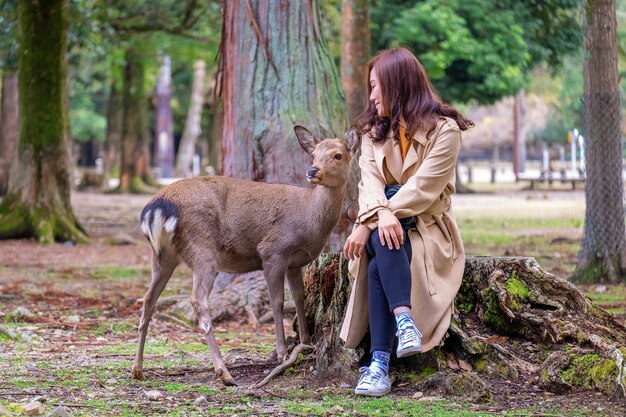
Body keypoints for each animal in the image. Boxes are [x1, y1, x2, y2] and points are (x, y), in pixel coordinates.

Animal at [129, 125, 358, 386]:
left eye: (337, 155)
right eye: (313, 155)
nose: (312, 171)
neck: (309, 220)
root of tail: (157, 207)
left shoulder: (295, 262)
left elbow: (299, 297)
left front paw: (306, 342)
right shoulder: (274, 251)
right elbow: (278, 301)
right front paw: (282, 353)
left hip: (163, 256)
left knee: (148, 299)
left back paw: (137, 369)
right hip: (202, 247)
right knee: (198, 299)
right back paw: (223, 372)